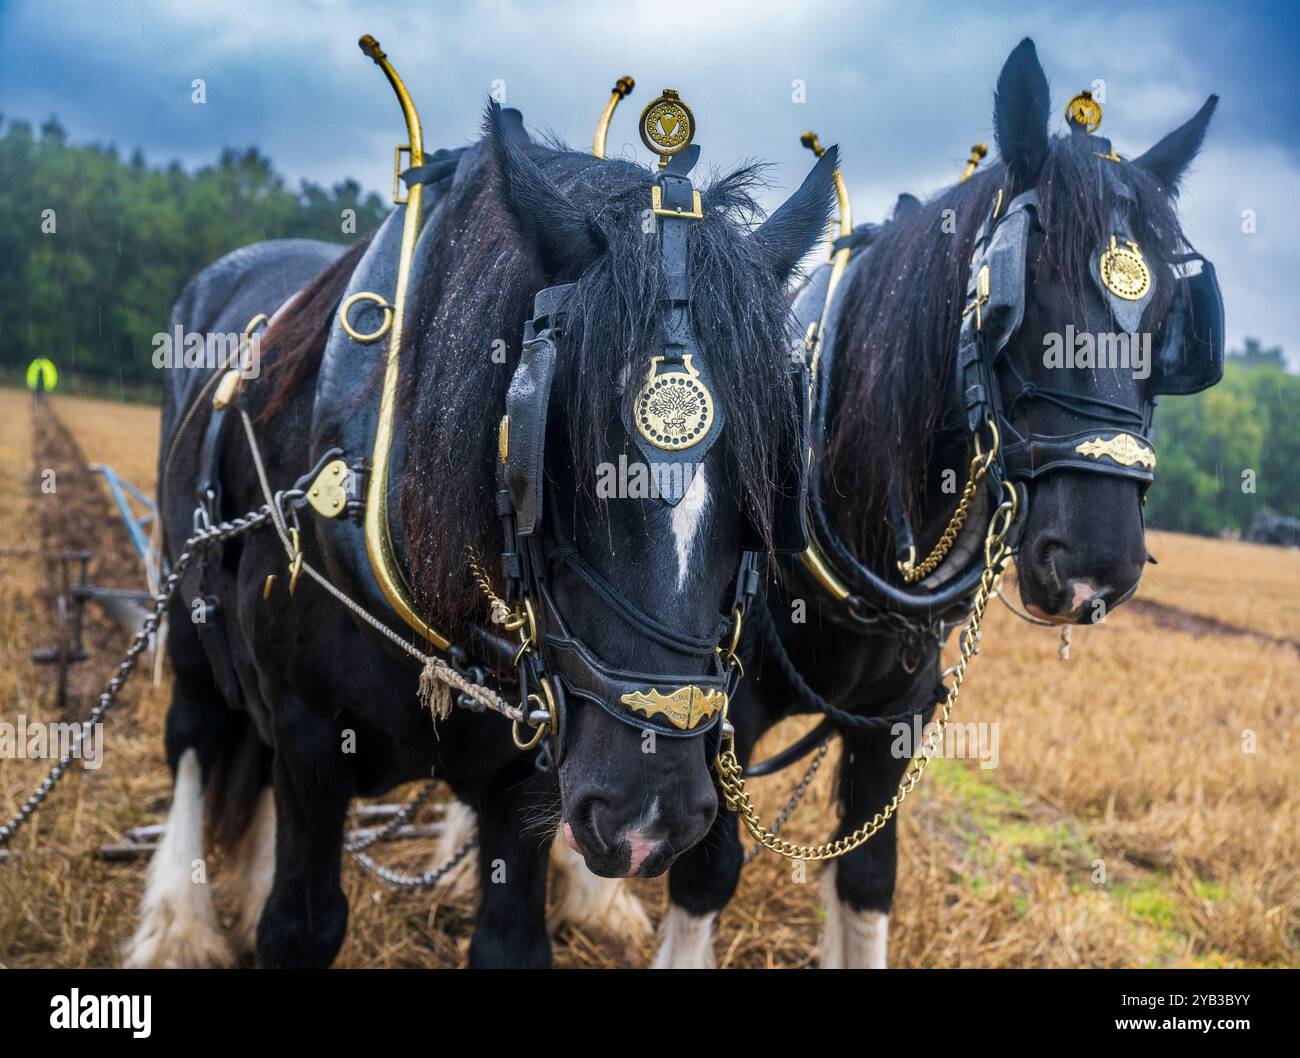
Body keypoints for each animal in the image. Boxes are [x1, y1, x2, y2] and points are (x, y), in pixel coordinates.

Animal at [127, 98, 838, 968]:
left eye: (770, 472)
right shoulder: (308, 737)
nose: (652, 817)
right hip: (190, 615)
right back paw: (179, 925)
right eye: (553, 450)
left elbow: (511, 942)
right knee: (196, 737)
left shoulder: (533, 770)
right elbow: (299, 924)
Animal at [654, 38, 1223, 968]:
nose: (1098, 564)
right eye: (1019, 299)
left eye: (1172, 321)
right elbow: (702, 870)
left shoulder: (894, 724)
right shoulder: (717, 708)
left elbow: (867, 878)